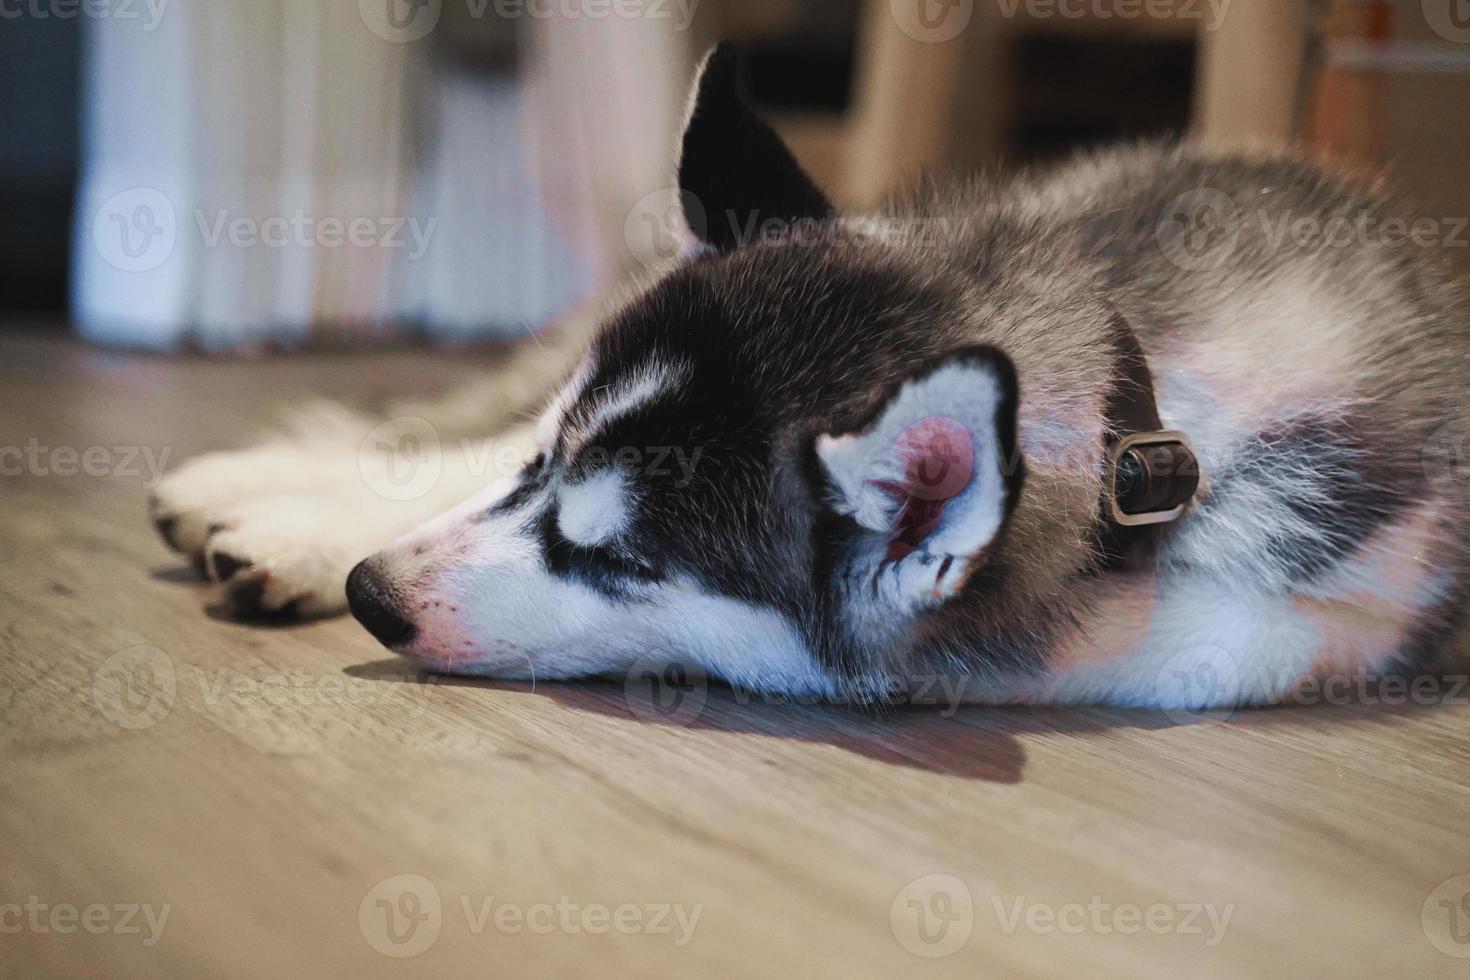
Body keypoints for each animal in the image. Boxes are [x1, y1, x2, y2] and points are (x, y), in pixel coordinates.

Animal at [152, 45, 1470, 708]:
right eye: (547, 471)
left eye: (628, 561)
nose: (372, 591)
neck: (1143, 420)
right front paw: (318, 515)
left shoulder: (1328, 606)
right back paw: (273, 501)